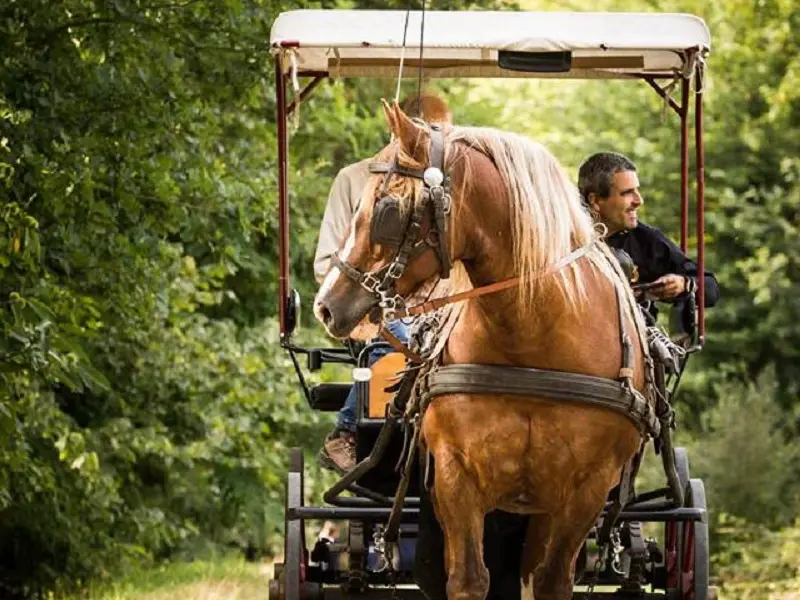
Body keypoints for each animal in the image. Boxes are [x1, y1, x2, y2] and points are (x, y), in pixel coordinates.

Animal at [312, 102, 648, 600]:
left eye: (387, 209)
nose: (326, 304)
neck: (532, 340)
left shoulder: (586, 488)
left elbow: (551, 581)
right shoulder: (456, 476)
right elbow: (469, 578)